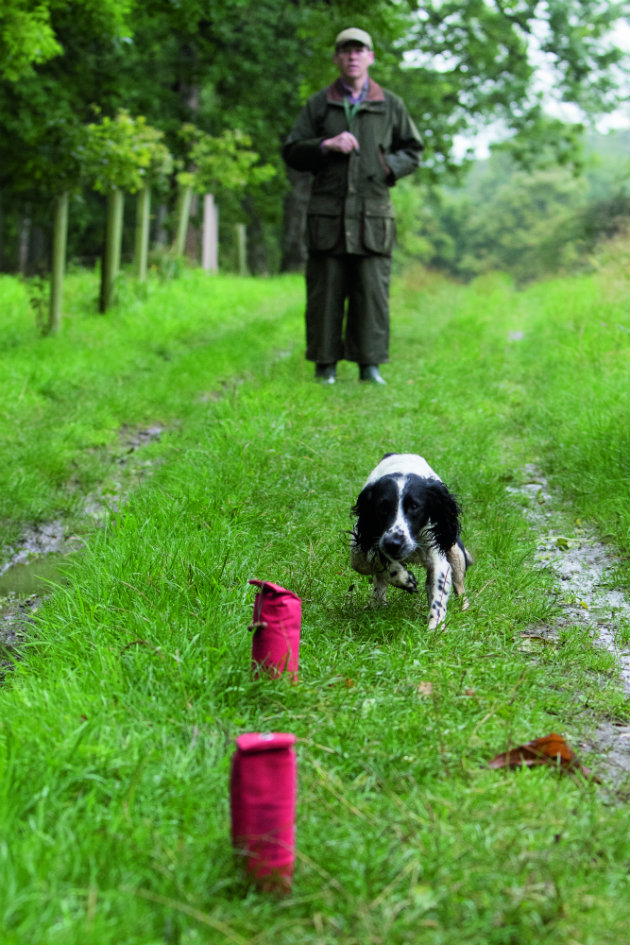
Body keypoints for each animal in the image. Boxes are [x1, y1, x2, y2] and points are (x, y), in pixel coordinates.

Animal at [350, 452, 474, 628]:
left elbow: (438, 593)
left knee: (460, 587)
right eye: (382, 507)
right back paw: (377, 603)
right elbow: (373, 561)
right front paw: (403, 578)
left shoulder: (437, 556)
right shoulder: (361, 544)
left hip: (456, 554)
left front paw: (435, 627)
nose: (393, 544)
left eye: (415, 506)